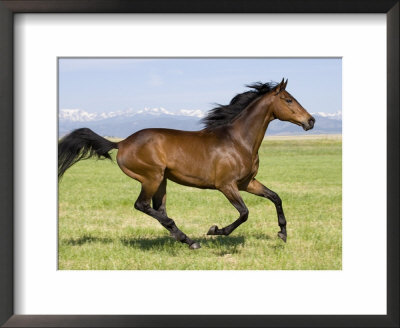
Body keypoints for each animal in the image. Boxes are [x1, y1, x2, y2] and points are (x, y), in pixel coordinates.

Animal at [59, 79, 316, 249]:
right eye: (288, 99)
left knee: (158, 209)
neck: (238, 141)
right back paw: (189, 240)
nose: (311, 121)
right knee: (143, 205)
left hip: (161, 180)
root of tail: (121, 143)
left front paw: (282, 233)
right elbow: (244, 213)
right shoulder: (227, 186)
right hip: (151, 178)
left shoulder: (247, 183)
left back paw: (186, 239)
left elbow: (275, 197)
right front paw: (216, 231)